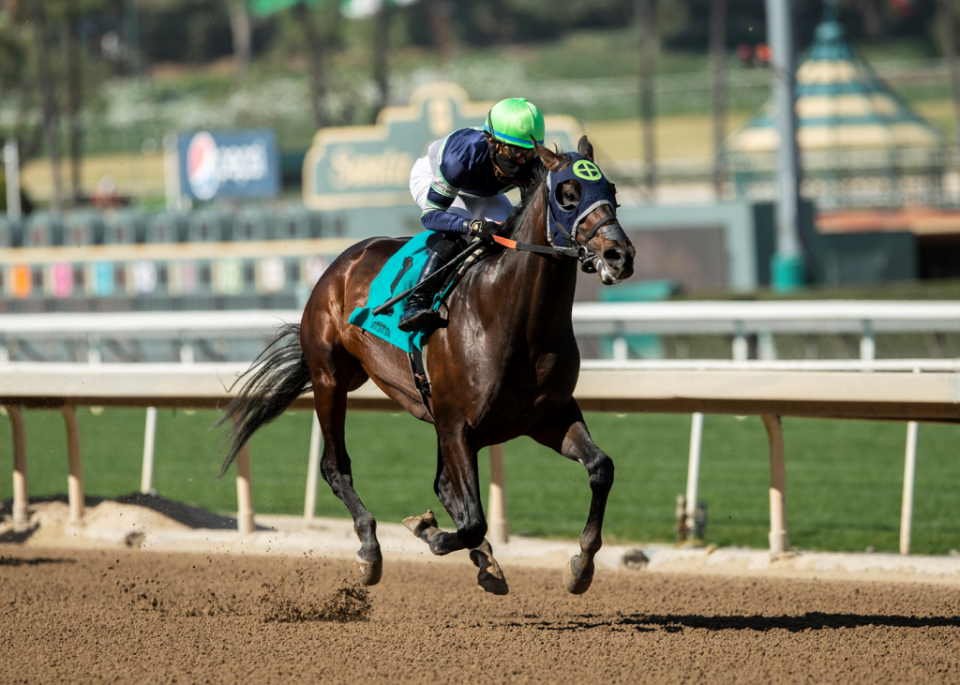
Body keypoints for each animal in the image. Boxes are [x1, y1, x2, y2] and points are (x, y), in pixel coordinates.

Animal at [220, 135, 632, 592]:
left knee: (445, 487)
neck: (514, 319)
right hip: (330, 378)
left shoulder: (546, 416)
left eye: (611, 191)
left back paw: (482, 560)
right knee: (335, 466)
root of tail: (341, 262)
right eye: (568, 194)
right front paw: (430, 533)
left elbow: (601, 468)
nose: (619, 255)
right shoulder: (457, 426)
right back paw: (370, 549)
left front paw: (581, 565)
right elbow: (472, 520)